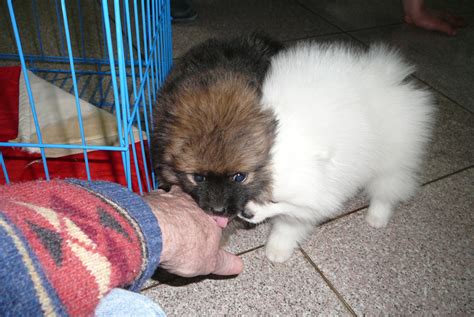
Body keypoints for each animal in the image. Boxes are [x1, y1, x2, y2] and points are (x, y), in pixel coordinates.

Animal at [241, 42, 436, 262]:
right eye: (244, 181)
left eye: (274, 200)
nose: (245, 213)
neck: (299, 128)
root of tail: (388, 77)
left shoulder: (313, 199)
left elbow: (289, 224)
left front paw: (278, 248)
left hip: (392, 158)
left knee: (387, 188)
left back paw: (377, 216)